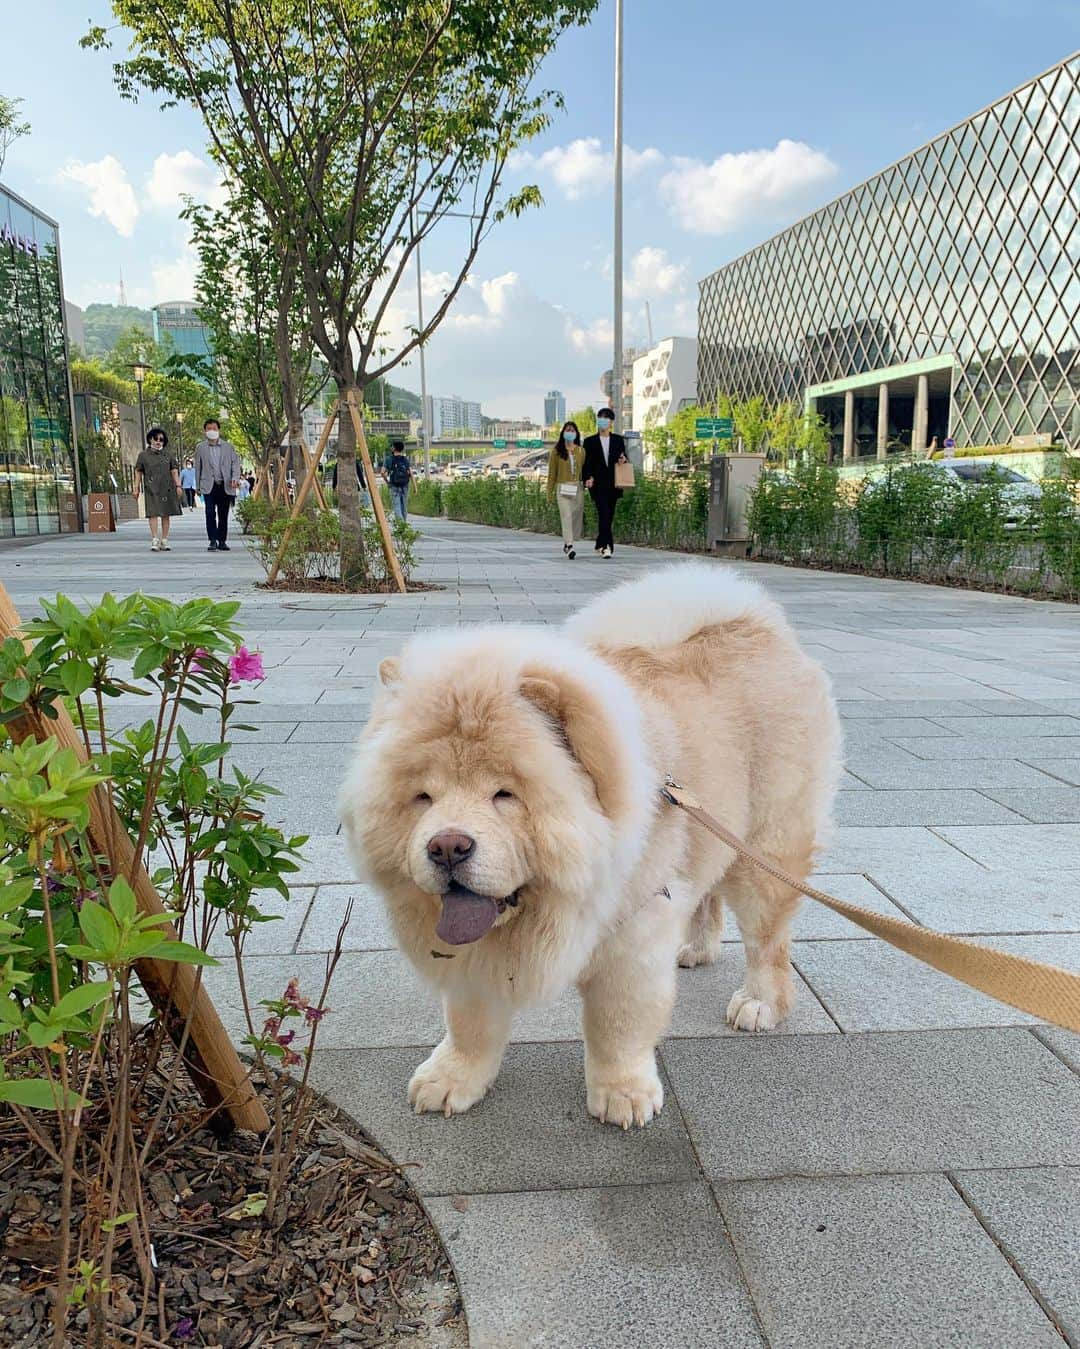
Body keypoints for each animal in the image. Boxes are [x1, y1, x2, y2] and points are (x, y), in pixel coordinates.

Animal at [341, 558, 835, 1127]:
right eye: (423, 796)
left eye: (504, 794)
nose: (446, 846)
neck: (547, 910)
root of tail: (755, 625)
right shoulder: (474, 961)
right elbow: (469, 1022)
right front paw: (452, 1079)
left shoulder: (634, 937)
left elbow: (617, 1024)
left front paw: (623, 1095)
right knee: (707, 894)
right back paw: (696, 949)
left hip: (765, 850)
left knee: (768, 939)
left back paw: (759, 1004)